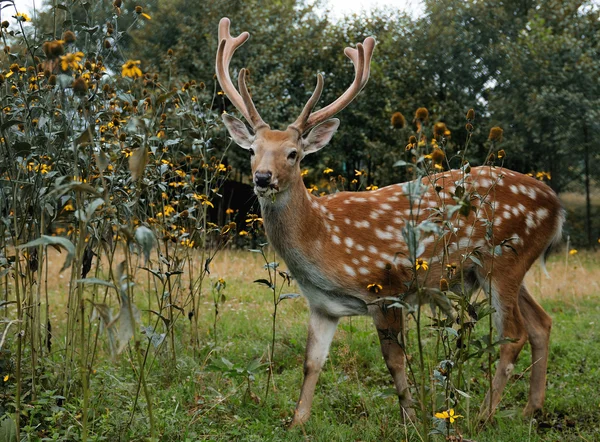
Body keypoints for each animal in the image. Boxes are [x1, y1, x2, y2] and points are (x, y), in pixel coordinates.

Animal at [216, 18, 564, 428]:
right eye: (252, 150)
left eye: (294, 153)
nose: (263, 178)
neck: (323, 240)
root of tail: (557, 206)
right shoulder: (321, 305)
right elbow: (311, 362)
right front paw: (297, 422)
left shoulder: (385, 287)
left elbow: (395, 362)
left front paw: (410, 419)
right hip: (502, 267)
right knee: (542, 323)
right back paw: (532, 409)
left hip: (503, 259)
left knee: (514, 333)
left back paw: (483, 416)